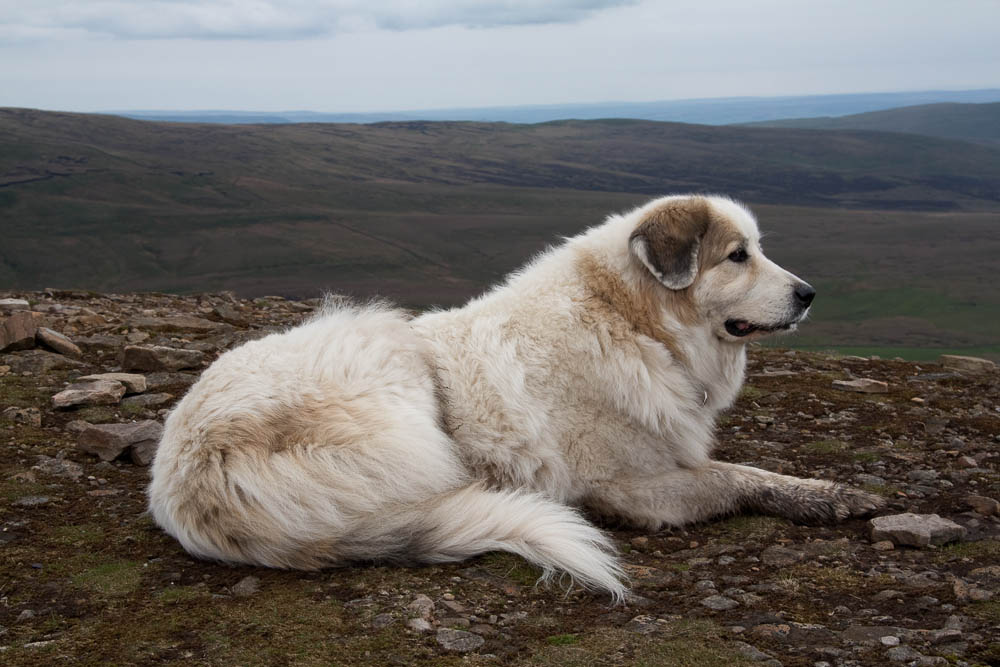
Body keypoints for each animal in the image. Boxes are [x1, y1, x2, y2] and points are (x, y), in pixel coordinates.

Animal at [148, 193, 884, 600]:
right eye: (737, 256)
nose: (808, 294)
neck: (630, 323)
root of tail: (188, 478)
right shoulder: (628, 487)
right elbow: (734, 477)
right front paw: (828, 497)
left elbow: (749, 468)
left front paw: (826, 490)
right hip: (389, 362)